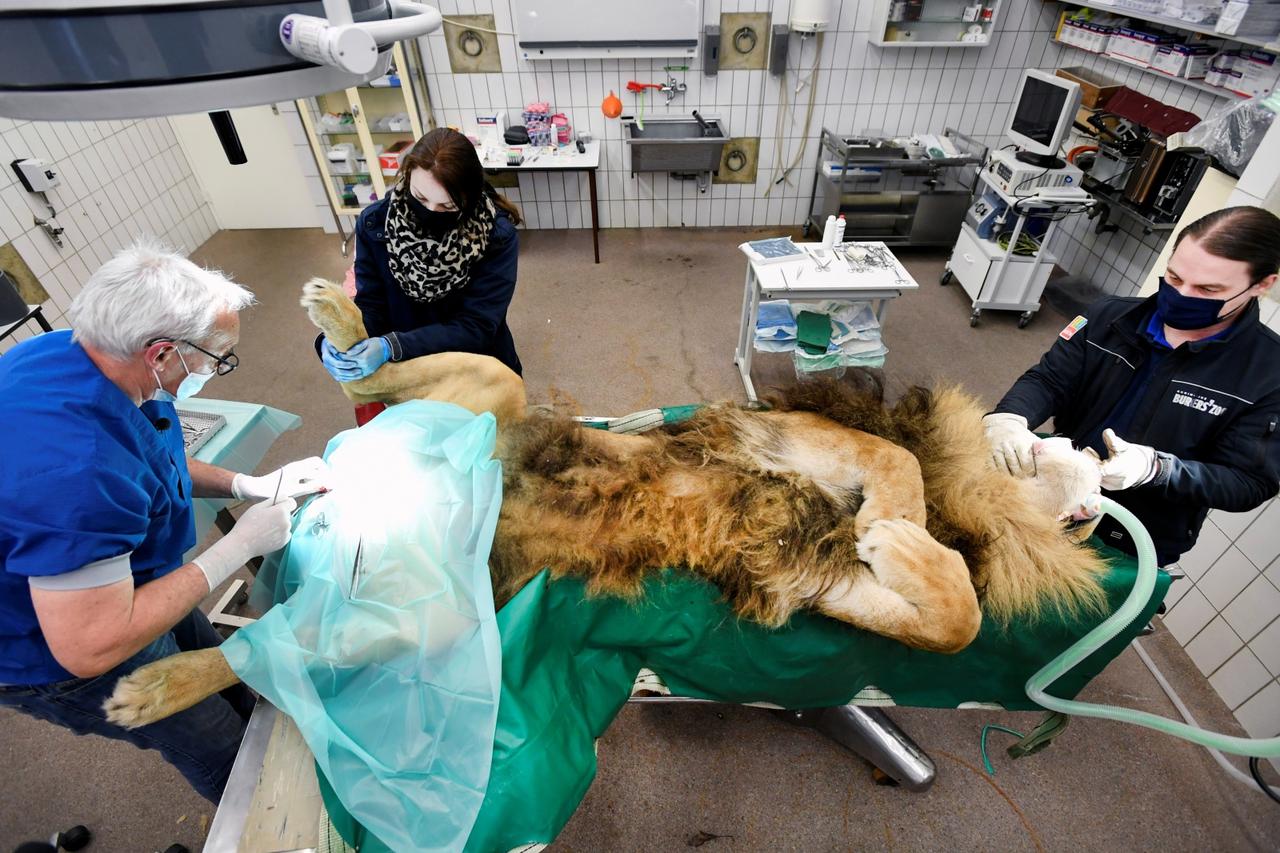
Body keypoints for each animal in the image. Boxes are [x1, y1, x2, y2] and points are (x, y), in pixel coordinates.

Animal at [102, 279, 1108, 729]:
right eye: (1077, 484)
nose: (1093, 510)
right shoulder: (789, 438)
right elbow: (900, 463)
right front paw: (898, 527)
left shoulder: (812, 578)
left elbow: (952, 623)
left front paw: (903, 545)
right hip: (492, 395)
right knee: (373, 370)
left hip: (437, 602)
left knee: (280, 644)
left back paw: (160, 680)